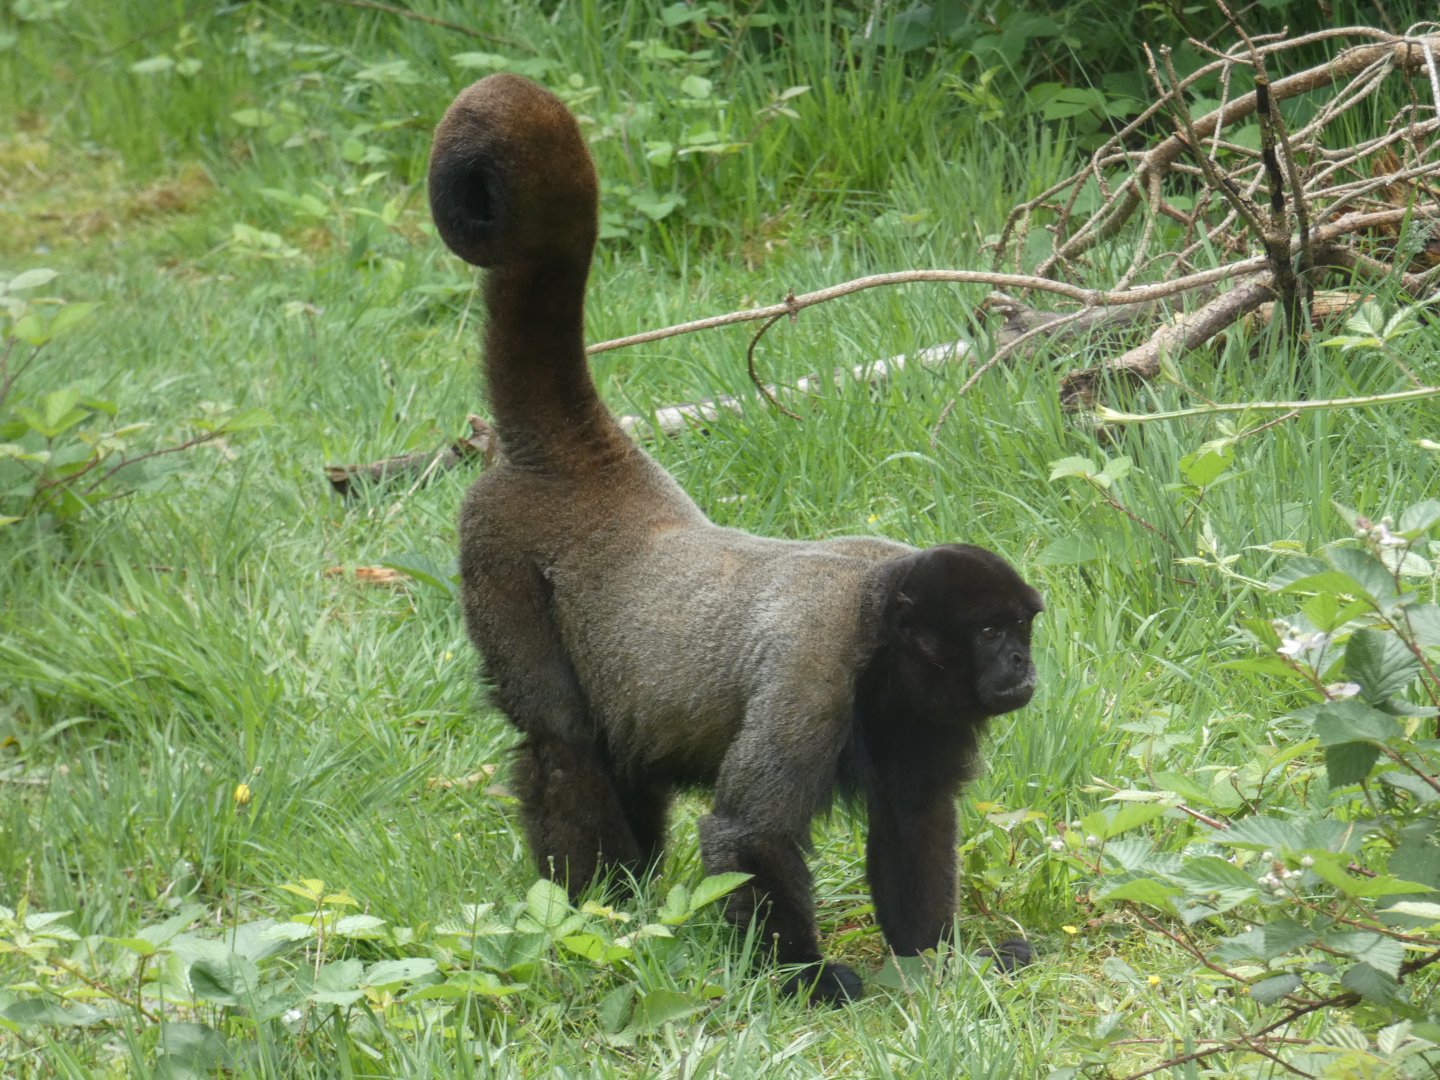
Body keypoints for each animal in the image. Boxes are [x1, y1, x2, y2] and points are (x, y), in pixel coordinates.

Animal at [428, 73, 1043, 1005]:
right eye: (987, 630)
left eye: (1021, 627)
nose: (1019, 663)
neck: (883, 631)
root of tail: (588, 470)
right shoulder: (814, 670)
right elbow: (747, 833)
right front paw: (815, 982)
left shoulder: (927, 712)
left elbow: (914, 818)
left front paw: (937, 965)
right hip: (496, 556)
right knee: (564, 743)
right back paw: (601, 911)